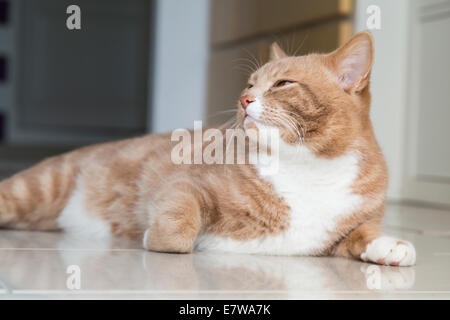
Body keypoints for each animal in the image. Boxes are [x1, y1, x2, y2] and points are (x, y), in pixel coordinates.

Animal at [0, 31, 414, 266]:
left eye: (283, 83)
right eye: (250, 83)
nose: (244, 99)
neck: (307, 165)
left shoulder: (346, 227)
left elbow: (364, 232)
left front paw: (390, 245)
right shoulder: (185, 184)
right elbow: (179, 227)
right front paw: (155, 237)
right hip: (38, 187)